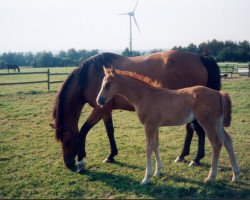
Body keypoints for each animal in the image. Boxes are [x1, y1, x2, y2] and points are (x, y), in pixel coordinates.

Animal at [51, 50, 221, 170]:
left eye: (65, 139)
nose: (68, 164)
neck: (89, 76)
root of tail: (199, 57)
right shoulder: (106, 110)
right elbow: (109, 130)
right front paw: (111, 155)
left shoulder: (99, 109)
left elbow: (84, 130)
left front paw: (81, 159)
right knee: (192, 129)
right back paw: (183, 156)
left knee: (198, 130)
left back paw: (196, 158)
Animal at [96, 67, 240, 184]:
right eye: (102, 84)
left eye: (107, 85)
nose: (99, 101)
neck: (144, 96)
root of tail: (218, 93)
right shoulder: (156, 126)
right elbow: (155, 145)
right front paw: (157, 171)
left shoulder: (149, 125)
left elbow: (148, 148)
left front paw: (146, 178)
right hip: (217, 123)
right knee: (228, 141)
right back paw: (235, 175)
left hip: (208, 123)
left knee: (216, 144)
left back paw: (211, 177)